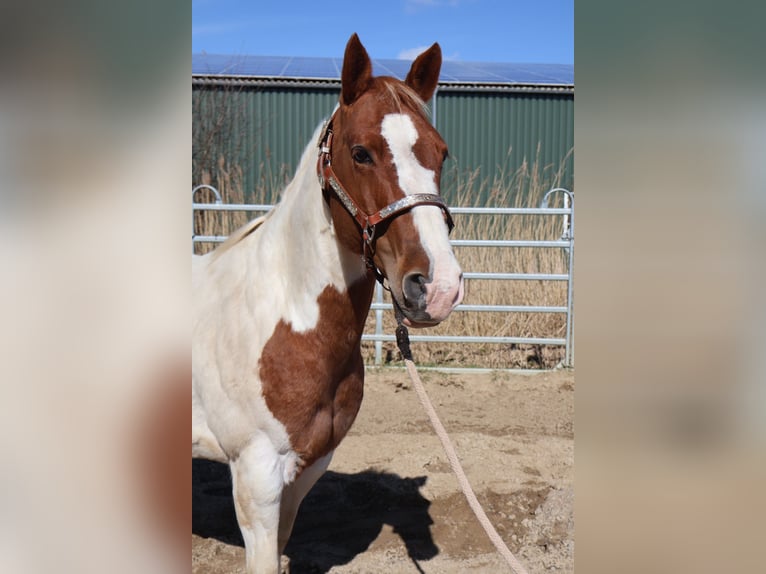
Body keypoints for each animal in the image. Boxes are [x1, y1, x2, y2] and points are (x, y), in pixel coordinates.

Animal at [192, 33, 464, 573]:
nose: (437, 287)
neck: (286, 323)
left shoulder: (308, 468)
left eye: (441, 154)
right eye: (360, 153)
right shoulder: (255, 478)